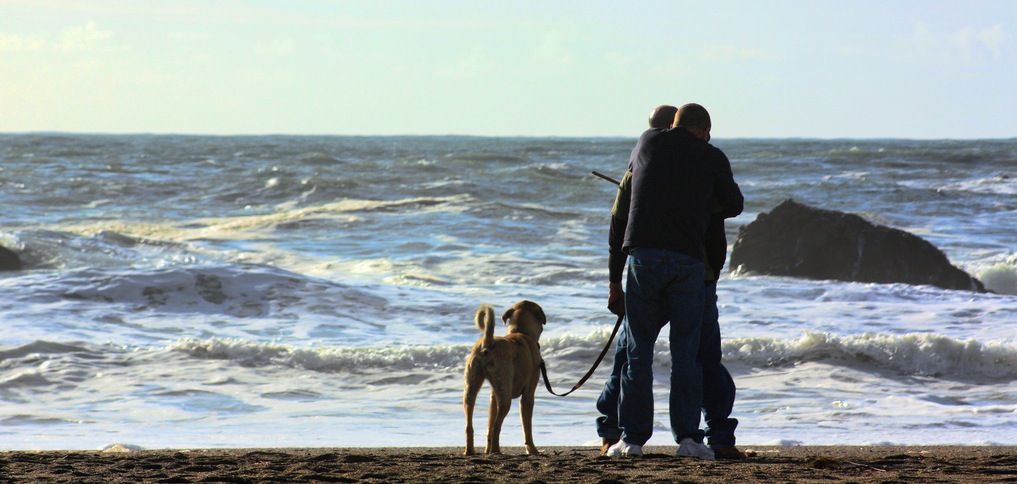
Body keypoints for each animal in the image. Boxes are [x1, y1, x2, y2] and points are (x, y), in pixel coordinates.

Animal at [465, 298, 549, 453]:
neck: (520, 332)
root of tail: (488, 342)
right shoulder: (528, 394)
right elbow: (527, 427)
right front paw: (532, 449)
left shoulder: (494, 395)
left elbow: (489, 424)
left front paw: (486, 449)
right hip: (505, 396)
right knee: (497, 425)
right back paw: (496, 451)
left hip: (472, 385)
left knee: (471, 422)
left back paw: (471, 451)